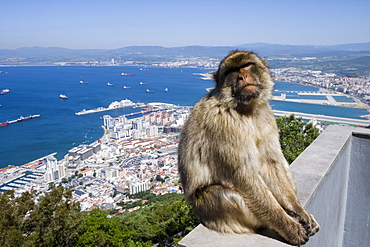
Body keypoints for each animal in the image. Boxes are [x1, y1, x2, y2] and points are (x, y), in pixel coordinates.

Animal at [178, 50, 320, 245]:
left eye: (247, 65)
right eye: (232, 70)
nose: (242, 76)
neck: (246, 108)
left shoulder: (266, 114)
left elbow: (271, 164)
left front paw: (300, 212)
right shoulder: (223, 124)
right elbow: (244, 176)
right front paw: (289, 228)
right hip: (209, 210)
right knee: (223, 194)